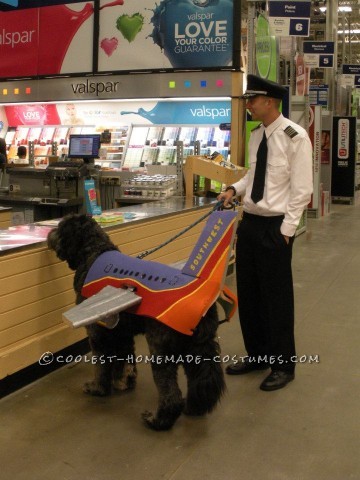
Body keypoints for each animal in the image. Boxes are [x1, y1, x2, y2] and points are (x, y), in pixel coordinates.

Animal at [47, 215, 225, 432]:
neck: (94, 251)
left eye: (60, 227)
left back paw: (158, 420)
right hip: (196, 347)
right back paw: (194, 407)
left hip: (161, 349)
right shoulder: (121, 333)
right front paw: (124, 381)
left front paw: (98, 388)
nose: (49, 234)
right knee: (200, 379)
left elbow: (101, 365)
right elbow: (124, 359)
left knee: (170, 393)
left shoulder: (98, 333)